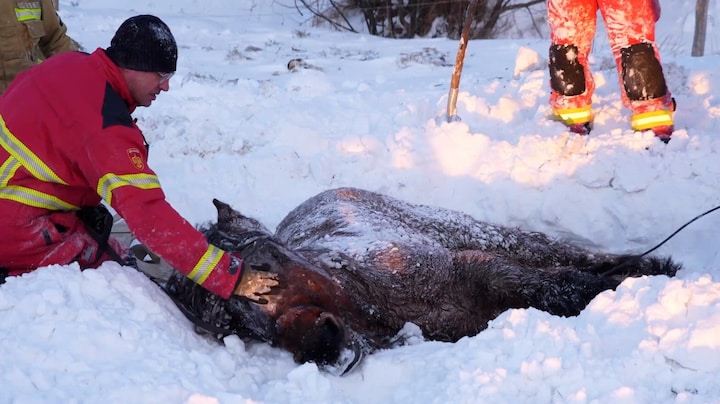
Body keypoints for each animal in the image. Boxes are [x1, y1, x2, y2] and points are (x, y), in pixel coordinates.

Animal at [163, 187, 680, 375]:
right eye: (230, 324)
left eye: (262, 272)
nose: (321, 347)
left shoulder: (477, 266)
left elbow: (552, 287)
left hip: (481, 234)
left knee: (563, 255)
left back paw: (652, 268)